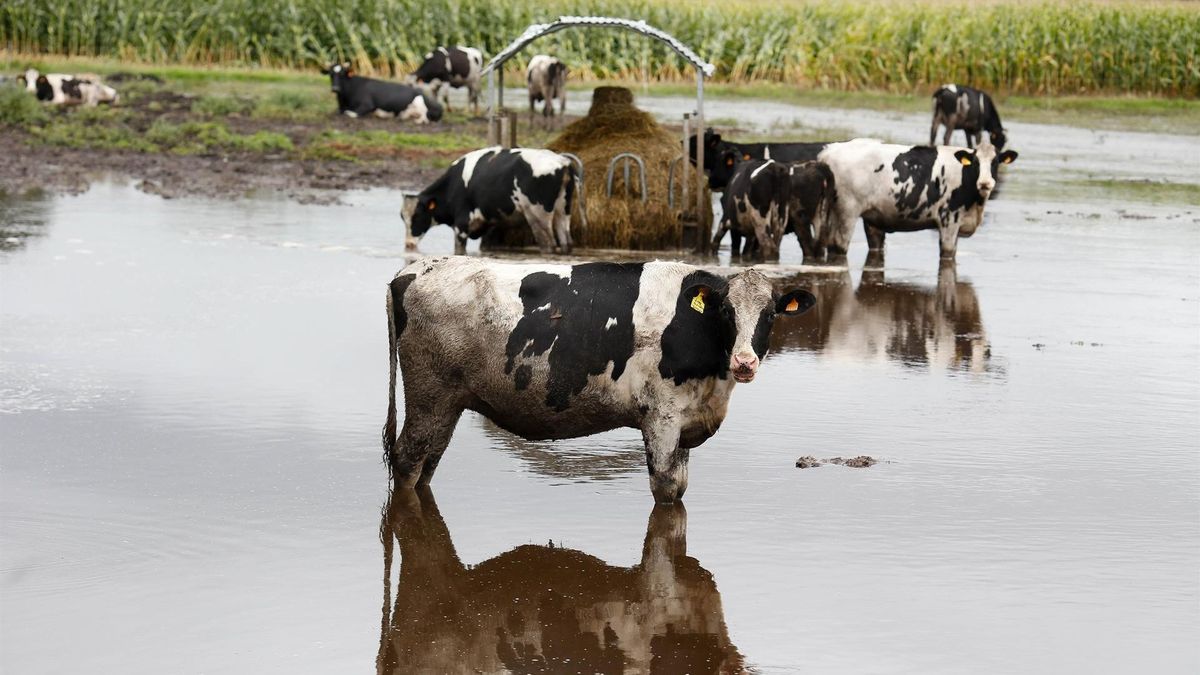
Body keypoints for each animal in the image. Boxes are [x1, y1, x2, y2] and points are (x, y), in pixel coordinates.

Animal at [384, 255, 816, 499]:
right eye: (727, 311)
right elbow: (667, 489)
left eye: (771, 315)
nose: (744, 361)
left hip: (447, 402)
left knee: (428, 463)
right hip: (428, 393)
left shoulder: (686, 421)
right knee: (407, 460)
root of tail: (412, 271)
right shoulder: (661, 418)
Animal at [403, 145, 580, 253]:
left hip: (538, 215)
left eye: (417, 216)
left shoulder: (461, 225)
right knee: (566, 242)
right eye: (402, 217)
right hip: (563, 210)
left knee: (549, 244)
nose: (408, 244)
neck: (453, 184)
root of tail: (562, 161)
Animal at [811, 138, 1017, 258]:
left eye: (995, 162)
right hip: (847, 212)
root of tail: (829, 151)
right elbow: (948, 255)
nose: (985, 183)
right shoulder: (949, 219)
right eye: (975, 162)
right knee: (839, 246)